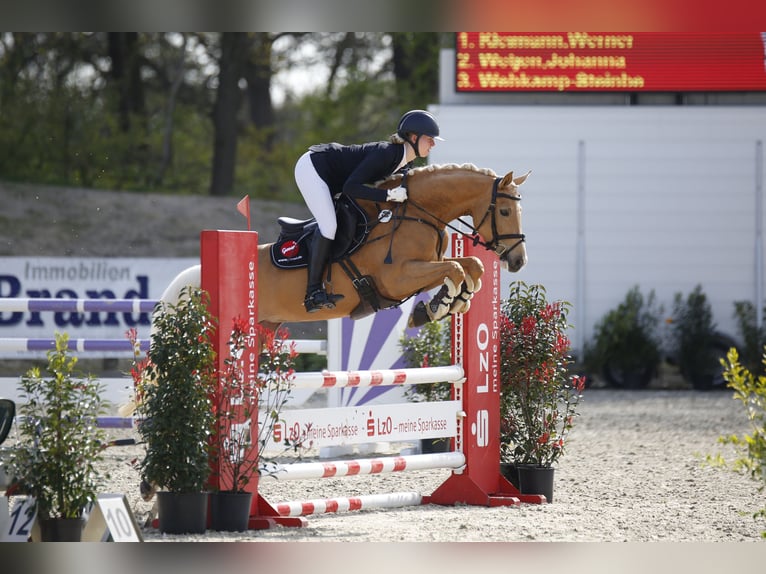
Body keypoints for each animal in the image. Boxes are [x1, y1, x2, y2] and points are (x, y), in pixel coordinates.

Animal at [160, 163, 532, 332]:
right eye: (504, 211)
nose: (518, 261)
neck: (415, 212)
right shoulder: (398, 277)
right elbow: (455, 268)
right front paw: (440, 306)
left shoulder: (423, 269)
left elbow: (472, 266)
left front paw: (448, 303)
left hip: (265, 326)